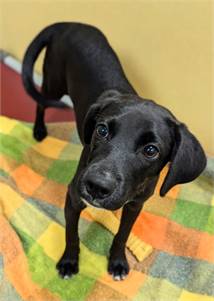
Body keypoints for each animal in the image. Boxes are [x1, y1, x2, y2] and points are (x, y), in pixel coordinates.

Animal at [21, 22, 206, 280]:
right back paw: (39, 130)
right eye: (102, 130)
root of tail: (68, 24)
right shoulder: (74, 196)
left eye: (151, 150)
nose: (97, 186)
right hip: (54, 83)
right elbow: (71, 234)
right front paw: (69, 262)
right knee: (41, 102)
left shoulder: (135, 205)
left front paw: (118, 262)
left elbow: (123, 235)